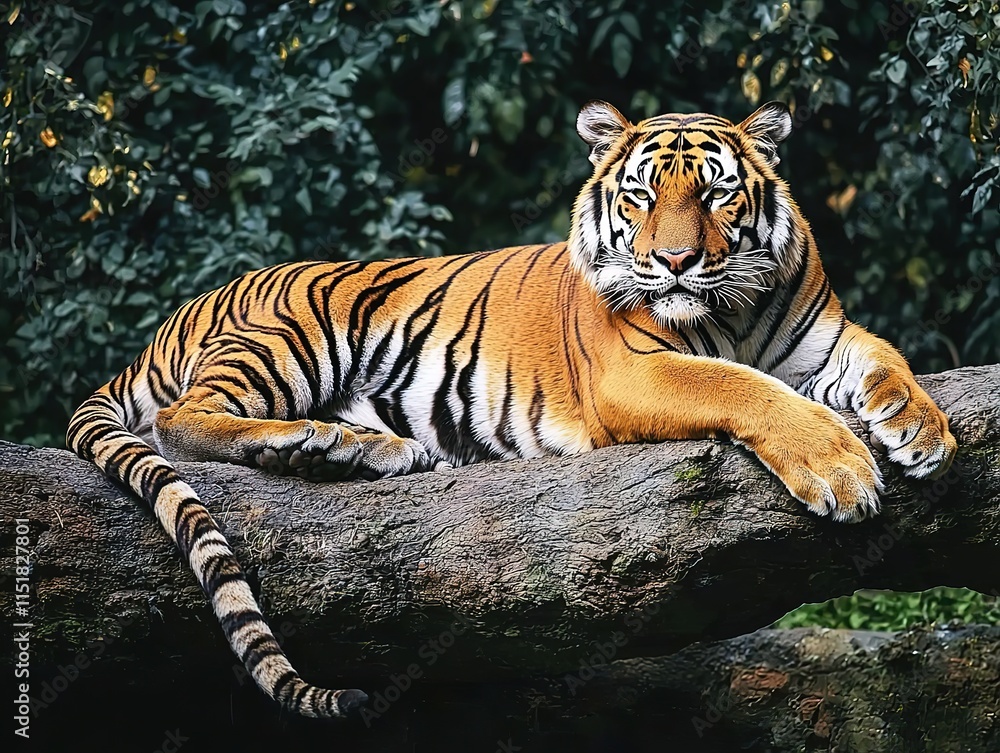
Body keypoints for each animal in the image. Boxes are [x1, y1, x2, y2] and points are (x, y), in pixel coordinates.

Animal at [67, 99, 957, 718]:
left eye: (715, 194)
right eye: (640, 197)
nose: (673, 262)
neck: (733, 308)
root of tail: (171, 322)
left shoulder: (824, 340)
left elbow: (886, 357)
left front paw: (921, 430)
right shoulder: (635, 370)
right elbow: (739, 386)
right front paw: (843, 471)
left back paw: (367, 447)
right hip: (292, 329)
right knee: (183, 420)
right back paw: (318, 445)